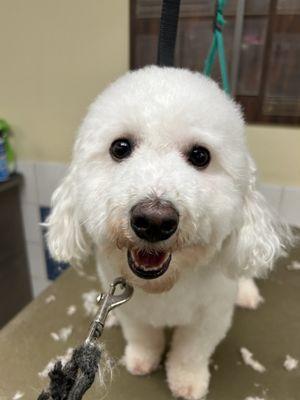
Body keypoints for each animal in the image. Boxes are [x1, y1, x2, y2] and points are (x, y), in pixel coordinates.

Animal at [46, 66, 290, 400]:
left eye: (200, 155)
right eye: (120, 147)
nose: (153, 221)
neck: (163, 286)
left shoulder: (210, 317)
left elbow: (191, 351)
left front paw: (187, 381)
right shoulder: (130, 309)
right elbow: (143, 336)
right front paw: (141, 360)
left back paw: (247, 293)